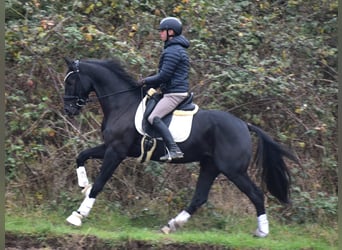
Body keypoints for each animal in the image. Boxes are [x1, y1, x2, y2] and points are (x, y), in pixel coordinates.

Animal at [62, 57, 298, 237]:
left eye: (71, 81)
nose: (68, 110)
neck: (123, 104)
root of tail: (244, 125)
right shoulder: (111, 147)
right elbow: (81, 156)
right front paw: (83, 184)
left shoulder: (116, 151)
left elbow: (100, 183)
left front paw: (78, 215)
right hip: (210, 166)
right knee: (200, 198)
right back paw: (171, 225)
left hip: (233, 170)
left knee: (256, 194)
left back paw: (262, 232)